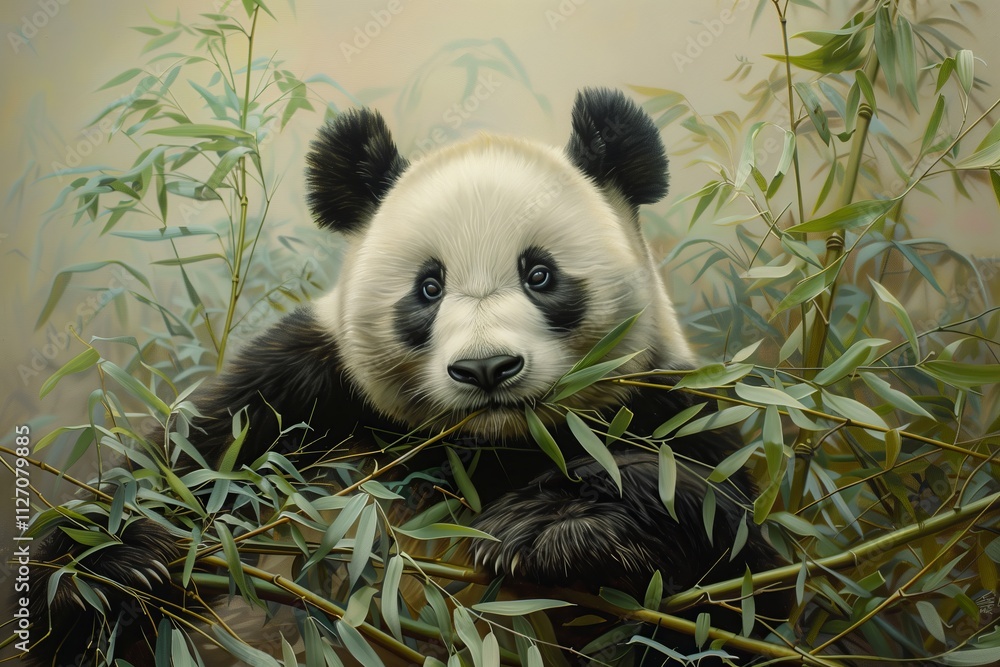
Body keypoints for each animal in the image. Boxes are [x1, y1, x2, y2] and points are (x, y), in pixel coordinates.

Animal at [27, 88, 788, 666]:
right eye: (428, 287)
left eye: (539, 274)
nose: (486, 368)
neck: (487, 445)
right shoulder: (300, 390)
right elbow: (182, 472)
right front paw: (109, 560)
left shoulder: (668, 403)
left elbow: (738, 590)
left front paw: (550, 524)